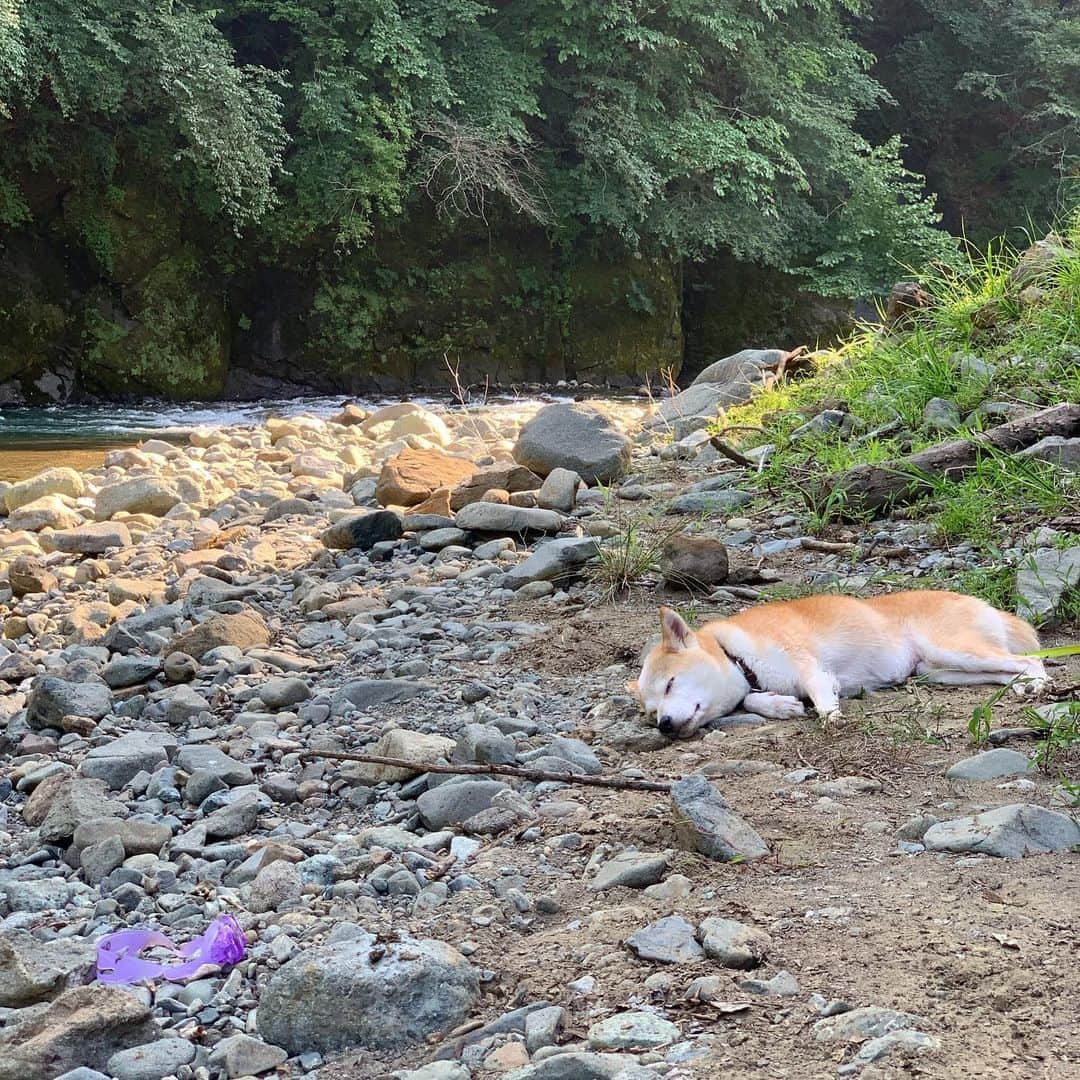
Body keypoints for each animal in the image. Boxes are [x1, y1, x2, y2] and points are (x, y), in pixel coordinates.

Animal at [630, 587, 1045, 738]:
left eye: (670, 684)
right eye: (651, 713)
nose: (665, 726)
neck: (738, 656)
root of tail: (976, 600)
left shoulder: (811, 667)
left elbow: (818, 693)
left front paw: (830, 717)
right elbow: (752, 698)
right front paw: (780, 706)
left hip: (953, 650)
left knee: (1029, 660)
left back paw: (1038, 683)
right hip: (938, 671)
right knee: (1007, 671)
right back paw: (1021, 687)